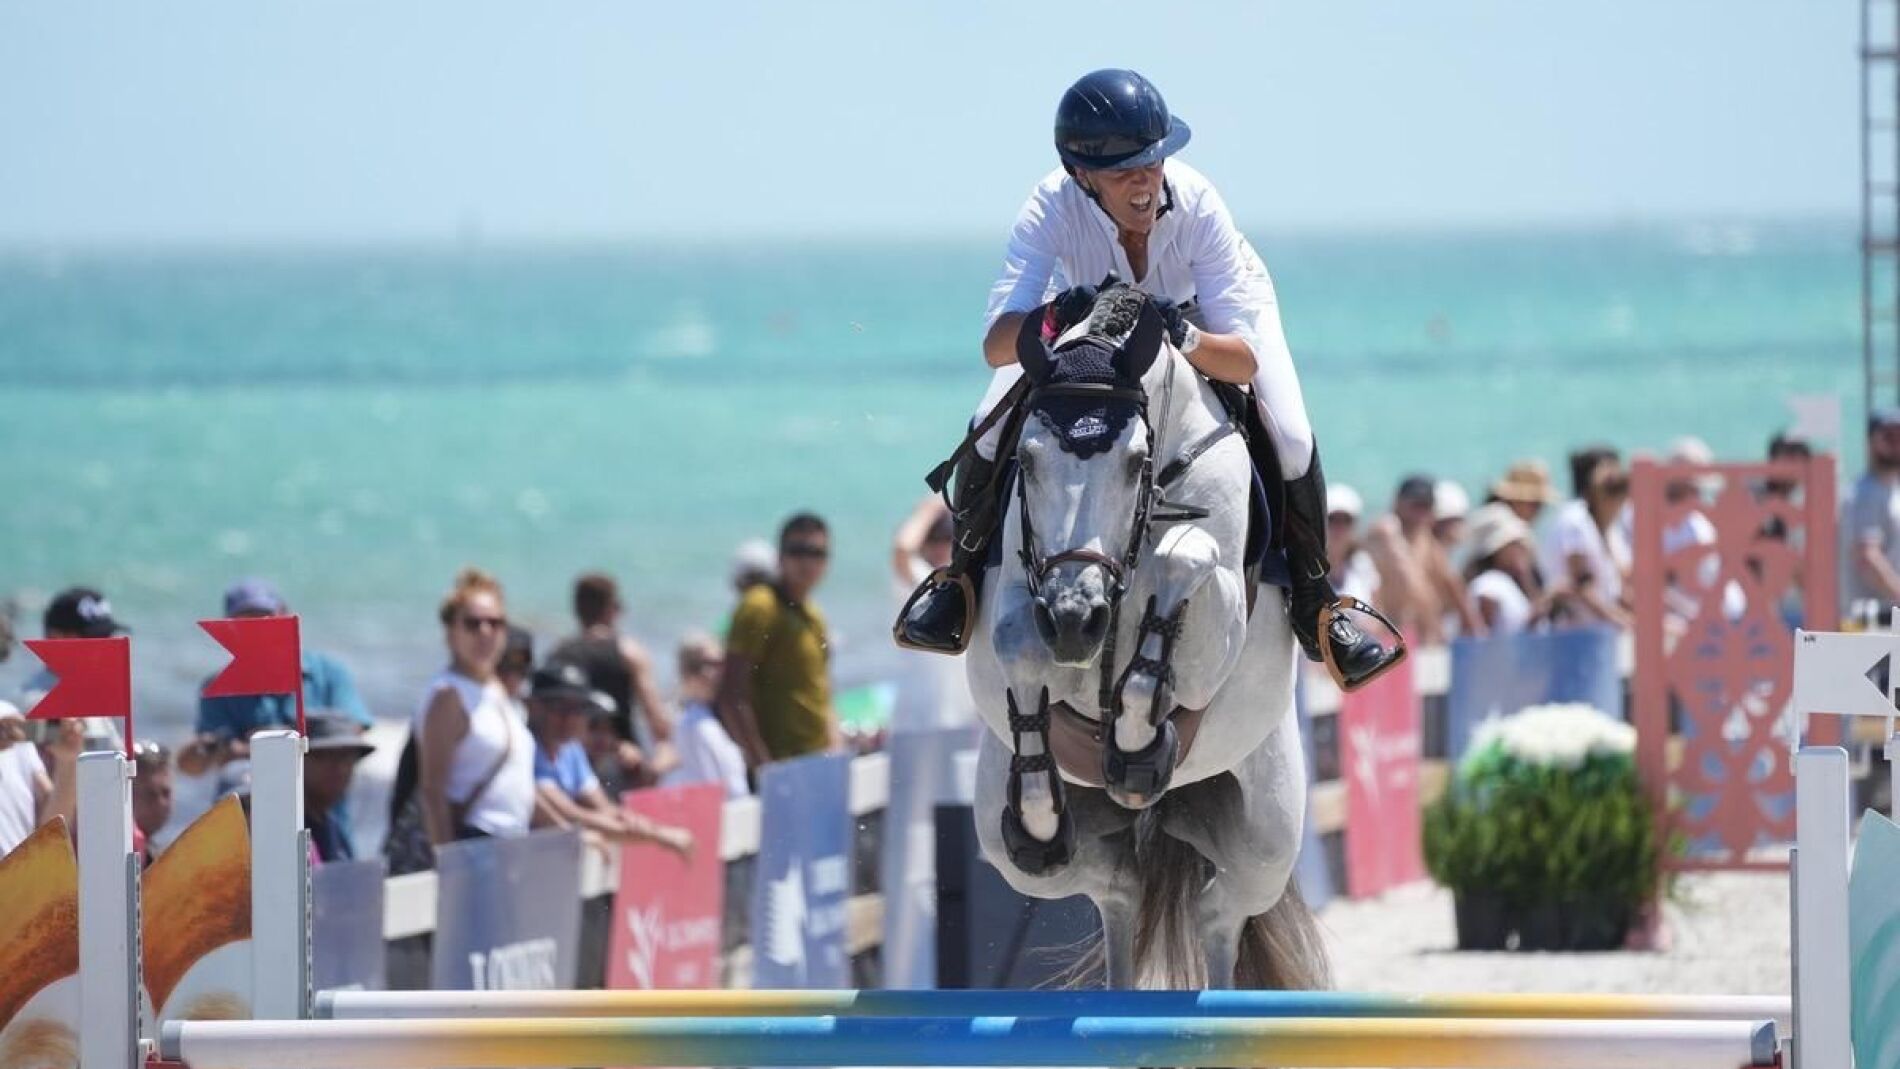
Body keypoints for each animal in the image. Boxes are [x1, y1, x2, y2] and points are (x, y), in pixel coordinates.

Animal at [965, 284, 1328, 990]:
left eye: (1135, 461)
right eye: (1025, 459)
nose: (1076, 621)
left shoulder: (1220, 615)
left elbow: (1184, 558)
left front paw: (1136, 742)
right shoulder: (1025, 589)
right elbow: (1019, 642)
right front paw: (1040, 813)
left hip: (1267, 839)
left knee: (1219, 911)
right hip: (1004, 839)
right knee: (1117, 887)